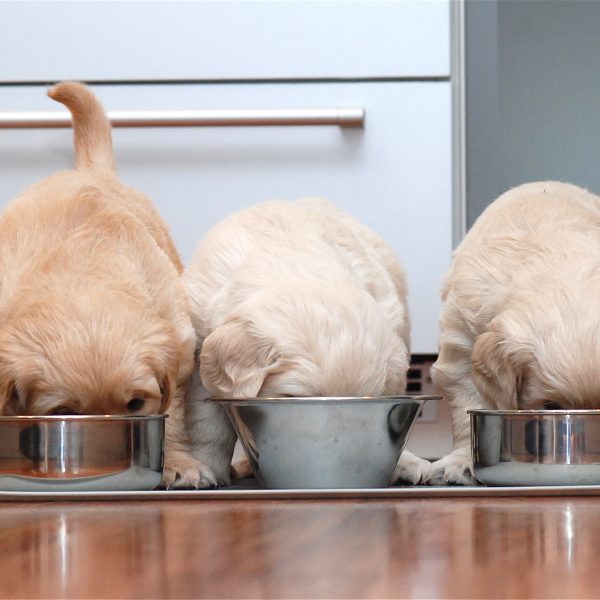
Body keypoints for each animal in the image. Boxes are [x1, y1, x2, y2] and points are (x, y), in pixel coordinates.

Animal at [0, 82, 206, 488]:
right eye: (64, 412)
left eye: (135, 404)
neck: (80, 269)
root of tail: (88, 169)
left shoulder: (179, 349)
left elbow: (172, 415)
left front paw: (177, 463)